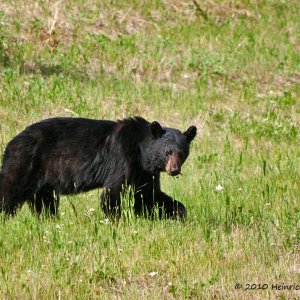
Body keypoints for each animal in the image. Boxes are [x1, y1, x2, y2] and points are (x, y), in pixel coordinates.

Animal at [0, 118, 197, 220]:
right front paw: (118, 218)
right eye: (167, 152)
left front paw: (178, 213)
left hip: (44, 178)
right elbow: (114, 192)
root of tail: (12, 142)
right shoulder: (123, 158)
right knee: (10, 189)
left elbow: (148, 195)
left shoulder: (145, 172)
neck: (141, 151)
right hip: (25, 162)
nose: (174, 169)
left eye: (181, 153)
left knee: (44, 201)